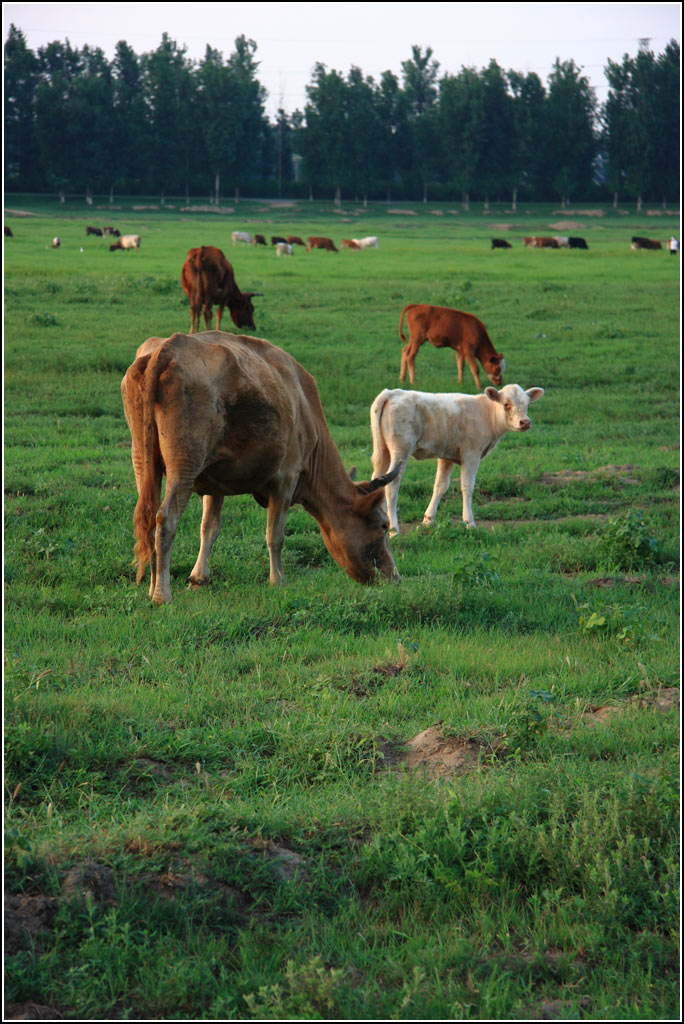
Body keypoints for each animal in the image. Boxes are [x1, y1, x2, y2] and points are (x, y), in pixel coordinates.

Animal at [120, 327, 397, 602]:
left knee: (148, 518)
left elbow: (209, 528)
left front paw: (198, 579)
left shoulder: (215, 482)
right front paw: (278, 581)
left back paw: (152, 586)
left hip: (143, 461)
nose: (395, 577)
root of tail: (169, 346)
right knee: (166, 518)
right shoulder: (287, 477)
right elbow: (275, 535)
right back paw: (162, 594)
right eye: (383, 526)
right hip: (185, 462)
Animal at [368, 385, 544, 536]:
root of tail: (392, 393)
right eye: (506, 404)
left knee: (377, 480)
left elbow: (440, 486)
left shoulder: (447, 457)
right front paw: (469, 524)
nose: (525, 422)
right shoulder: (471, 454)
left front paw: (427, 522)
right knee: (391, 486)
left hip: (383, 451)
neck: (486, 413)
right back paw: (394, 530)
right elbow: (467, 486)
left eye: (527, 404)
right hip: (400, 451)